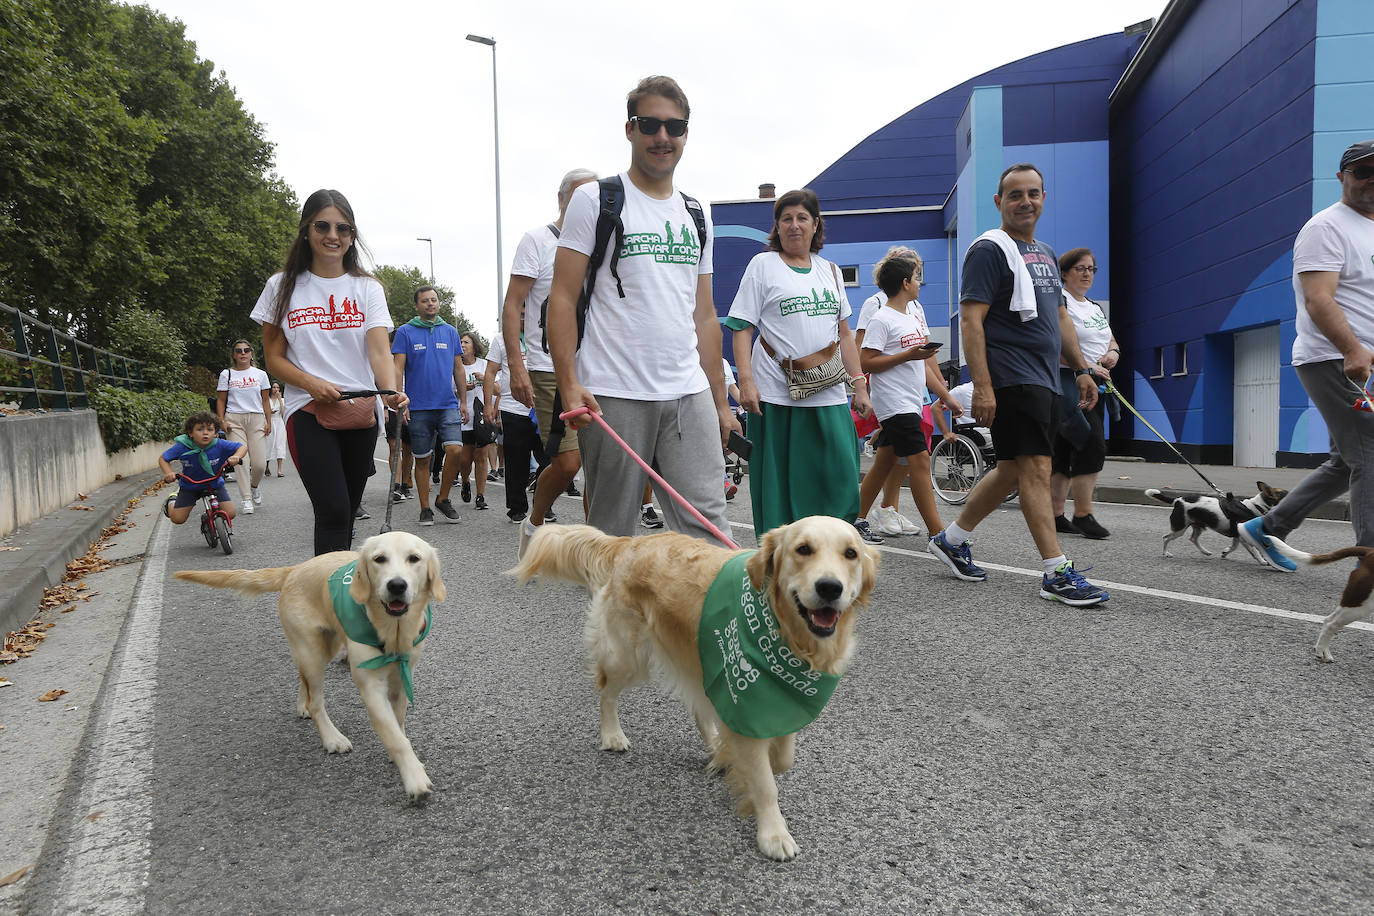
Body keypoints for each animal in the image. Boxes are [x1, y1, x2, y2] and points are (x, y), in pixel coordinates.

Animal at [171, 532, 439, 796]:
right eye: (379, 559)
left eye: (414, 558)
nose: (397, 585)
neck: (393, 631)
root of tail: (295, 569)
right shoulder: (371, 686)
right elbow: (394, 736)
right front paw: (414, 778)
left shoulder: (402, 676)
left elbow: (399, 723)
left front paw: (406, 761)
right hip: (312, 651)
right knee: (316, 701)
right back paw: (331, 738)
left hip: (325, 646)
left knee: (304, 682)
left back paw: (302, 706)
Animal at [508, 519, 879, 862]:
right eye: (803, 549)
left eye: (851, 554)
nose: (830, 587)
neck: (786, 637)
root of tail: (628, 542)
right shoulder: (746, 705)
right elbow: (765, 783)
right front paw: (774, 835)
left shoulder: (779, 700)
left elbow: (783, 757)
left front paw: (746, 759)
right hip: (628, 656)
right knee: (606, 692)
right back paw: (612, 734)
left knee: (700, 709)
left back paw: (716, 750)